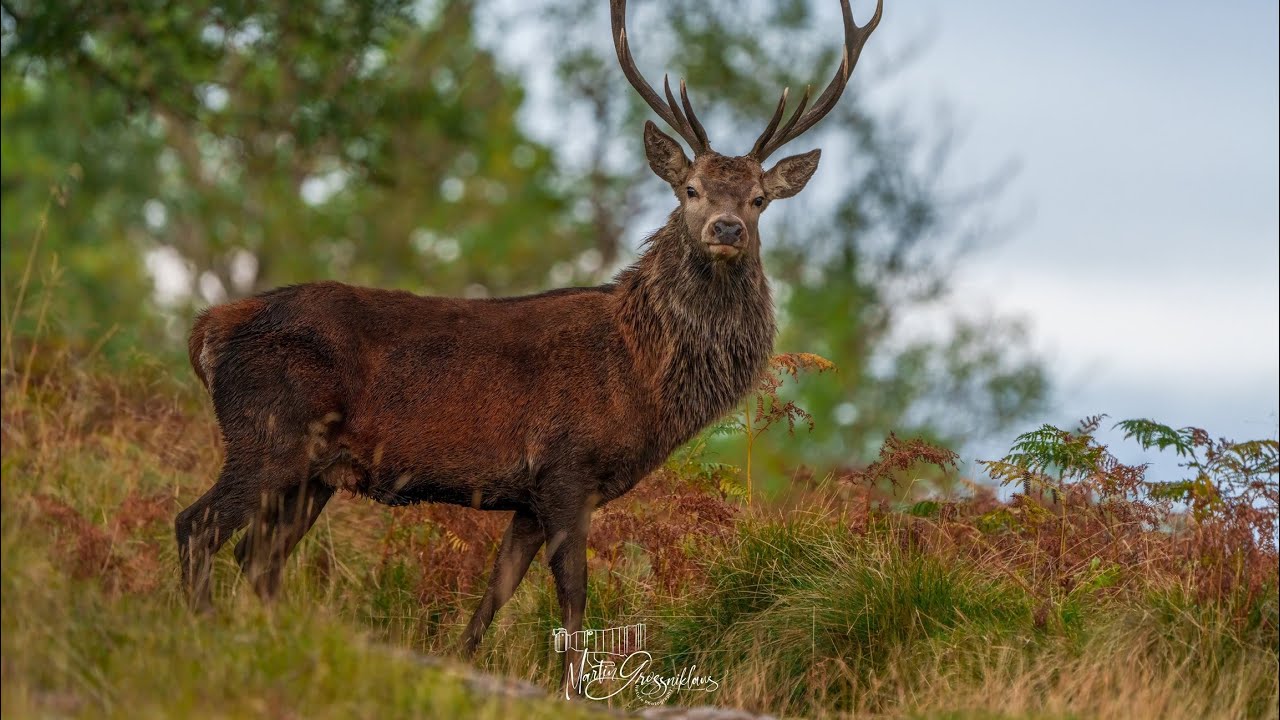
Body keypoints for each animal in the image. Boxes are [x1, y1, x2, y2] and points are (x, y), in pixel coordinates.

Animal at [176, 0, 882, 696]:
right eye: (691, 190)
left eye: (760, 199)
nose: (728, 228)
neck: (642, 376)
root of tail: (208, 326)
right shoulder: (567, 471)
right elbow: (573, 598)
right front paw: (572, 692)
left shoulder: (528, 498)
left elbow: (496, 592)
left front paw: (460, 665)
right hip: (268, 433)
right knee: (197, 527)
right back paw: (202, 633)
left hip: (314, 472)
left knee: (258, 557)